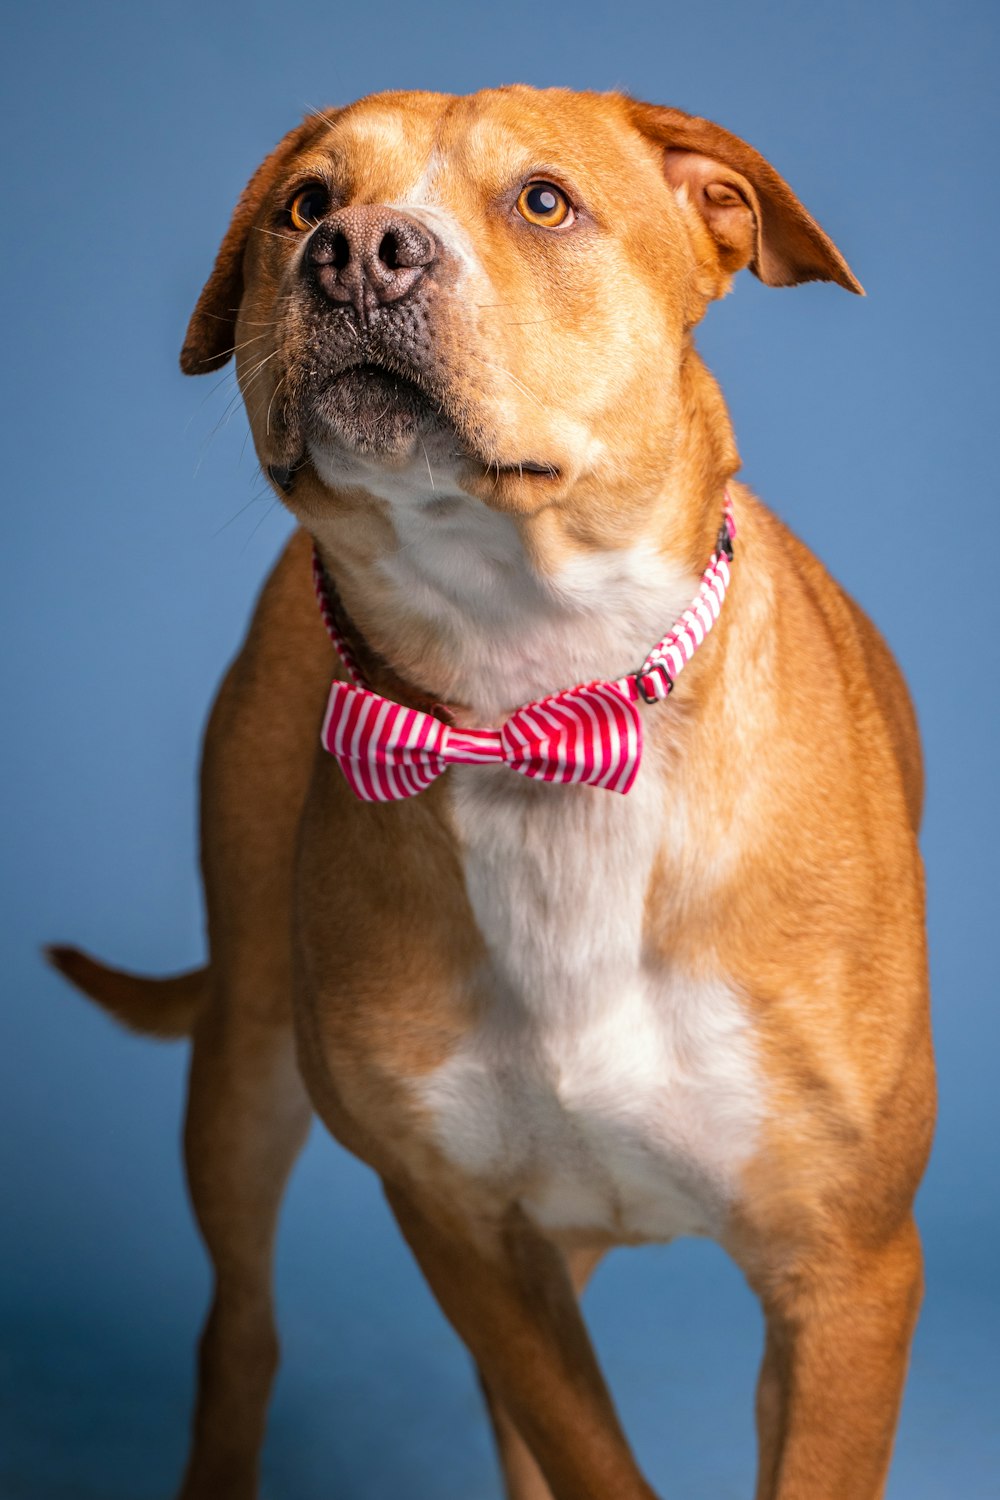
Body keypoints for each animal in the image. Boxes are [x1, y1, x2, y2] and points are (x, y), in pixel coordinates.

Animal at [50, 85, 935, 1500]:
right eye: (305, 201)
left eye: (543, 201)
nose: (357, 252)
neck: (534, 703)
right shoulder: (462, 1228)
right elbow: (586, 1457)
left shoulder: (845, 1268)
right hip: (245, 1060)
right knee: (240, 1326)